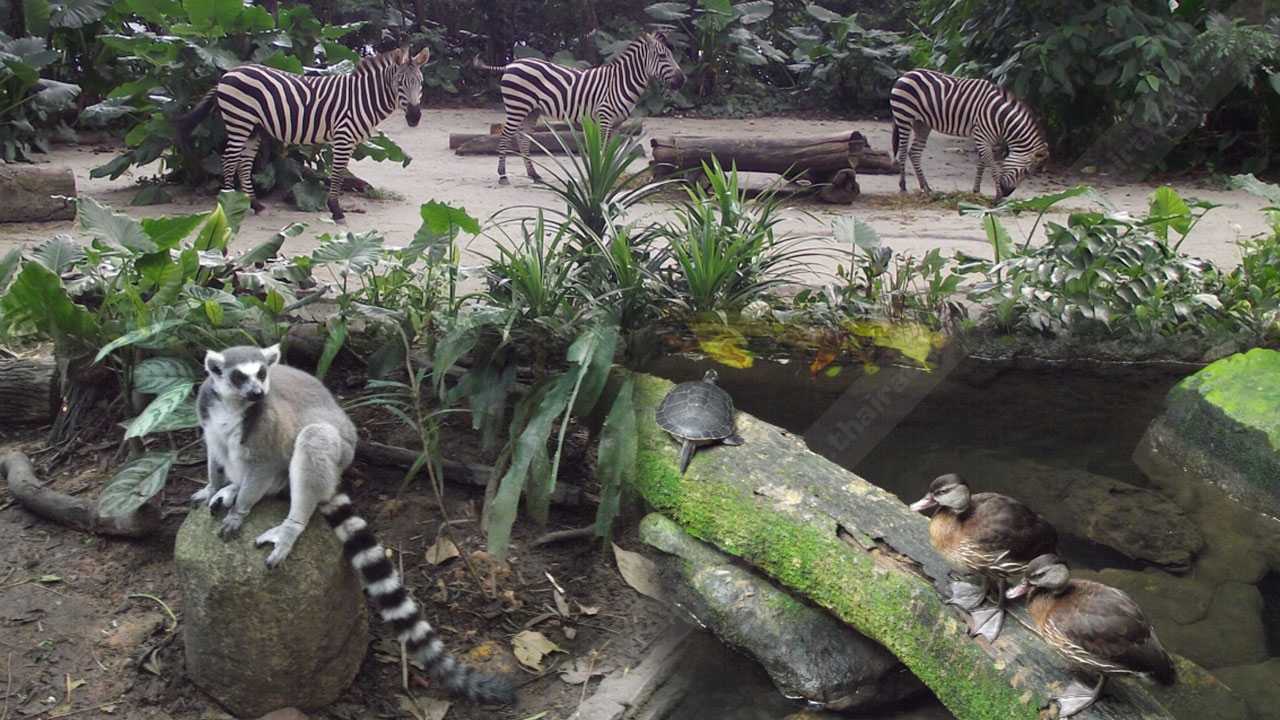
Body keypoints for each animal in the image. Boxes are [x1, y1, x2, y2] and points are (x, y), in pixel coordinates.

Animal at [175, 46, 430, 220]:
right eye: (399, 82)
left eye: (421, 82)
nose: (415, 117)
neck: (362, 98)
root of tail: (227, 74)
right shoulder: (343, 136)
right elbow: (337, 174)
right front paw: (336, 211)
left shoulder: (350, 141)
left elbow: (339, 174)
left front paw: (335, 208)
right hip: (239, 120)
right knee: (229, 161)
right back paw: (227, 204)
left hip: (253, 128)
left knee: (244, 164)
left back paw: (254, 204)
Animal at [473, 30, 691, 181]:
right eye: (663, 56)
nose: (682, 81)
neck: (620, 82)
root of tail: (511, 64)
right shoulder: (604, 117)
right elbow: (601, 150)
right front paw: (600, 177)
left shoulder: (618, 123)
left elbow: (611, 150)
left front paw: (609, 176)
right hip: (517, 107)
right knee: (505, 136)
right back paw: (503, 175)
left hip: (532, 110)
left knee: (523, 139)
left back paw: (533, 174)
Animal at [890, 68, 1049, 199]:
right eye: (1026, 171)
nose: (1006, 193)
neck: (1000, 117)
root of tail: (906, 73)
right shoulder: (982, 137)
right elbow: (993, 166)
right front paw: (997, 194)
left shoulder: (987, 139)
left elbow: (982, 164)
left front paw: (976, 190)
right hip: (904, 117)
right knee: (903, 152)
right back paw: (903, 186)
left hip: (922, 124)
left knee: (914, 152)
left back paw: (925, 186)